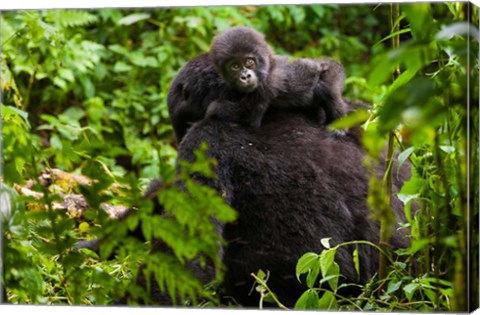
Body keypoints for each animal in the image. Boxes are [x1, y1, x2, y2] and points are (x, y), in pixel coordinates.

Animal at [205, 26, 344, 128]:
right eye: (235, 66)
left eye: (249, 62)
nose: (245, 76)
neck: (268, 66)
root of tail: (321, 63)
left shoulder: (267, 83)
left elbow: (247, 117)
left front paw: (214, 109)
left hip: (333, 71)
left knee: (327, 88)